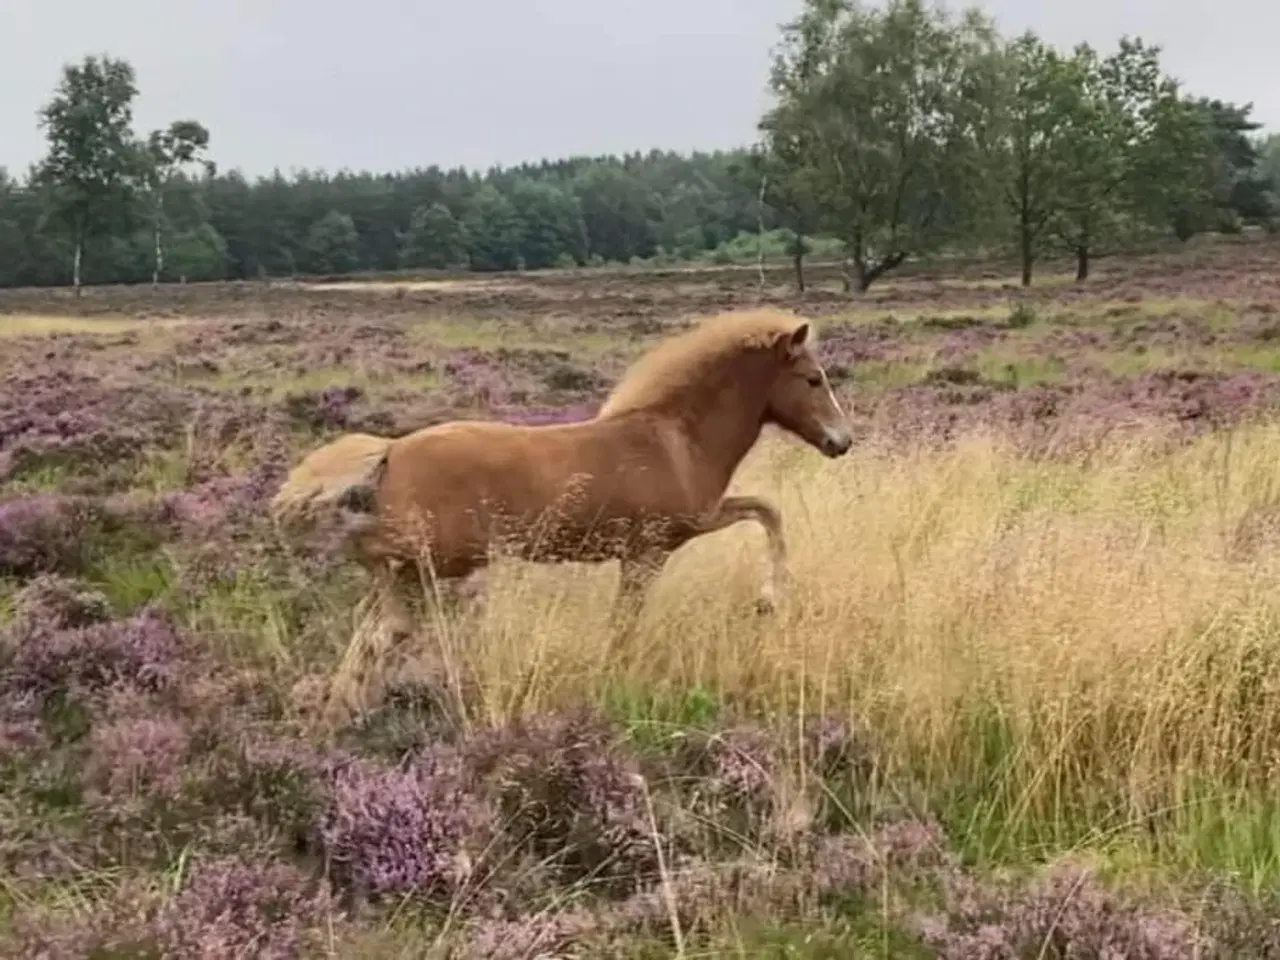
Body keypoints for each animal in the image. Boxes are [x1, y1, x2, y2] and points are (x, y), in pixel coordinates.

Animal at [270, 312, 849, 711]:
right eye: (814, 379)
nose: (841, 442)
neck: (675, 440)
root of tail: (390, 451)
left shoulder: (694, 524)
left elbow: (766, 511)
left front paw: (768, 600)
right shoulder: (649, 551)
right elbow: (624, 625)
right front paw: (768, 598)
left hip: (424, 568)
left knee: (371, 625)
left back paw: (338, 711)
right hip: (438, 560)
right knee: (379, 613)